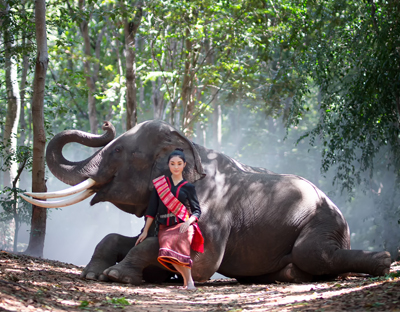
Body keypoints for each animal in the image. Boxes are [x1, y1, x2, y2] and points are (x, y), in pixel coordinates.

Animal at [21, 120, 390, 286]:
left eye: (118, 151)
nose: (107, 125)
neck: (188, 144)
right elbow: (128, 238)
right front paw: (93, 274)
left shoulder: (213, 208)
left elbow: (202, 262)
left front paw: (118, 275)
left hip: (324, 223)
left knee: (311, 253)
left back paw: (384, 261)